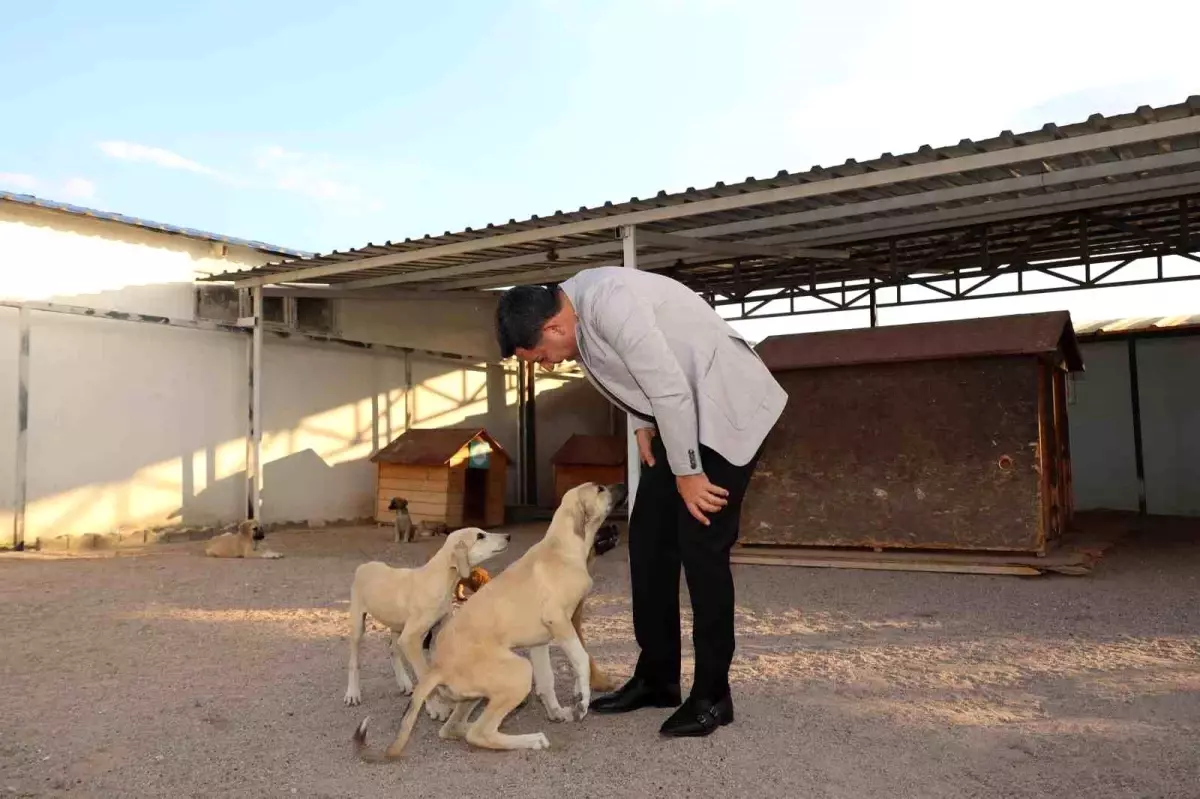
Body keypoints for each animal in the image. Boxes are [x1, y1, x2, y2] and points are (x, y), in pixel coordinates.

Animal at [343, 523, 506, 710]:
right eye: (480, 536)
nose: (508, 536)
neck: (440, 578)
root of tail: (364, 565)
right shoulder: (410, 639)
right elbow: (422, 672)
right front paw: (435, 707)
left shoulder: (436, 631)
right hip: (359, 626)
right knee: (354, 661)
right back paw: (353, 693)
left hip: (397, 626)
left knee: (393, 650)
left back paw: (404, 682)